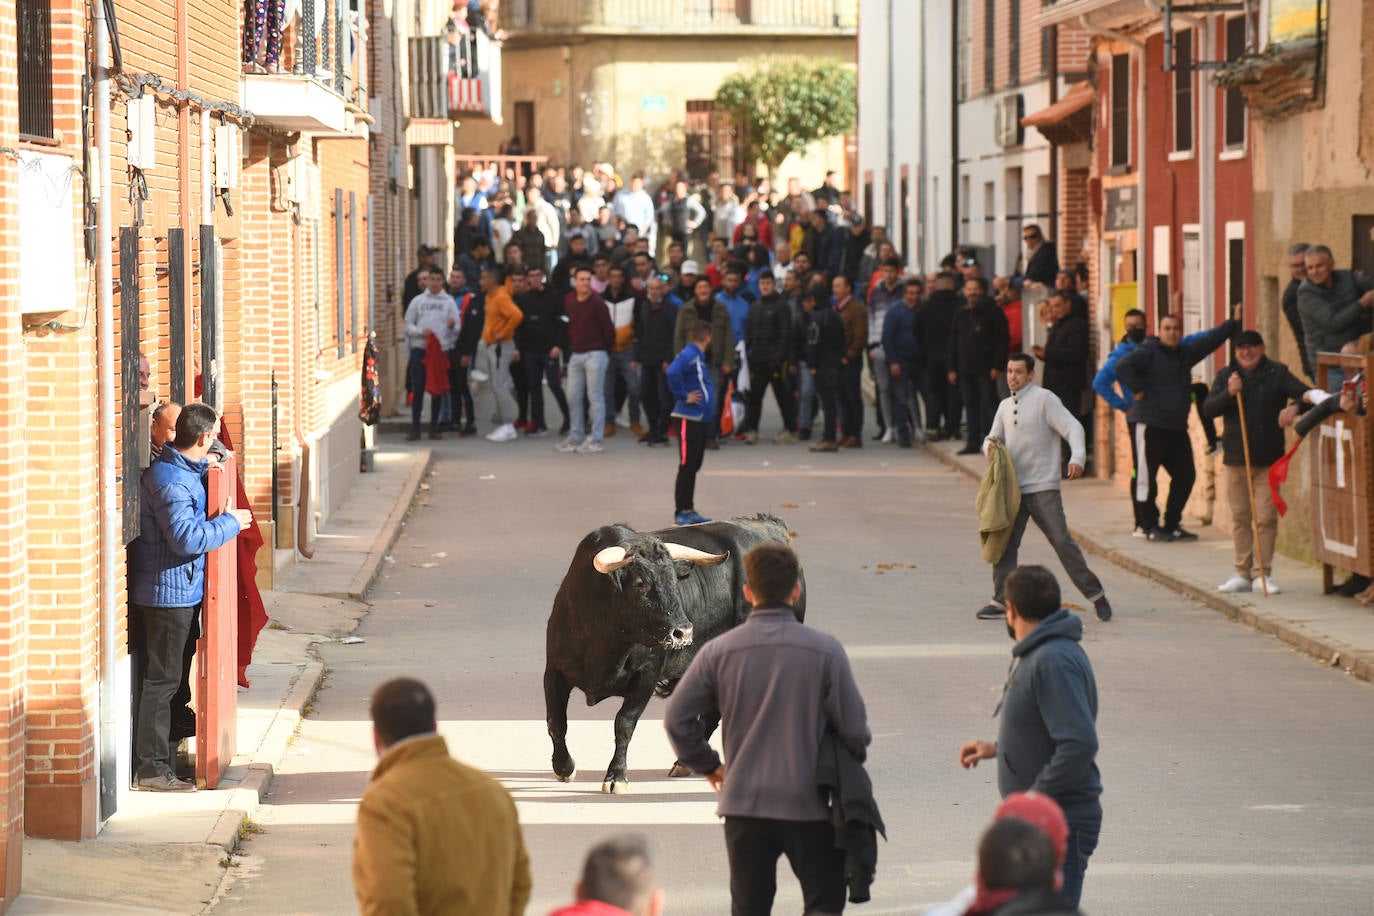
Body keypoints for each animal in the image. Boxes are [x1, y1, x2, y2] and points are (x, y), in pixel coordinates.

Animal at [544, 513, 802, 791]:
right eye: (640, 583)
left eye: (674, 582)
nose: (684, 632)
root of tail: (770, 527)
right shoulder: (554, 671)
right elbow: (556, 723)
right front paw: (564, 767)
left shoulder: (646, 677)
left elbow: (624, 724)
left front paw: (616, 776)